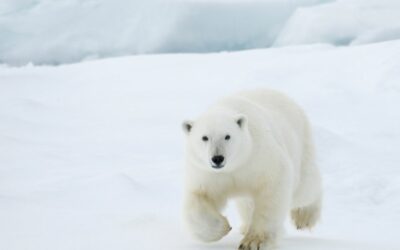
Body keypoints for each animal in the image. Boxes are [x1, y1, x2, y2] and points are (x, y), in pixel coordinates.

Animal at [183, 89, 324, 249]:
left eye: (227, 136)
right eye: (204, 137)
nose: (217, 158)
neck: (235, 164)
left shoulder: (259, 157)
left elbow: (273, 188)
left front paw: (254, 241)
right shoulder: (207, 173)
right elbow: (198, 199)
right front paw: (222, 227)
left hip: (300, 145)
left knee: (305, 190)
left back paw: (304, 216)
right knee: (247, 203)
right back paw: (245, 226)